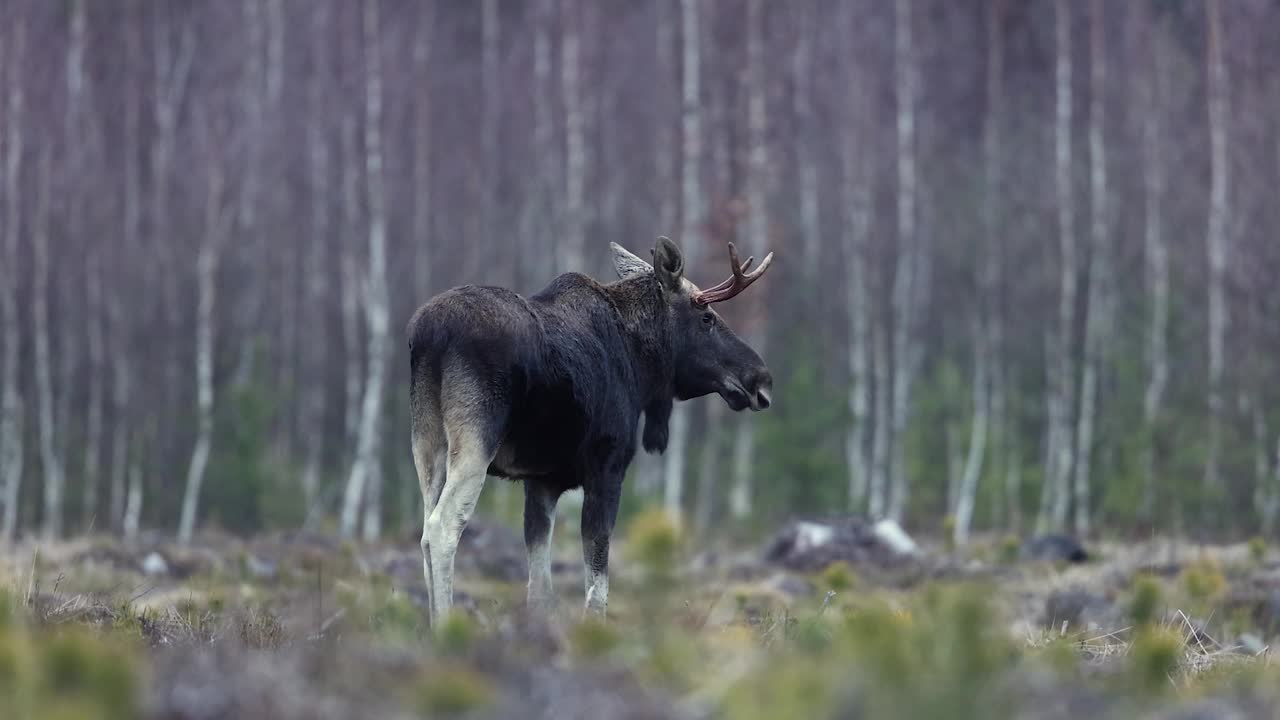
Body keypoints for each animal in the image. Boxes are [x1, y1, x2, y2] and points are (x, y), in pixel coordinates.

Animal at [404, 234, 773, 622]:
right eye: (707, 317)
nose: (760, 379)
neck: (641, 365)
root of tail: (430, 335)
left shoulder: (541, 481)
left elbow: (540, 586)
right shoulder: (606, 467)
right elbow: (597, 582)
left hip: (427, 443)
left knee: (425, 529)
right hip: (475, 440)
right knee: (443, 527)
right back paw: (443, 623)